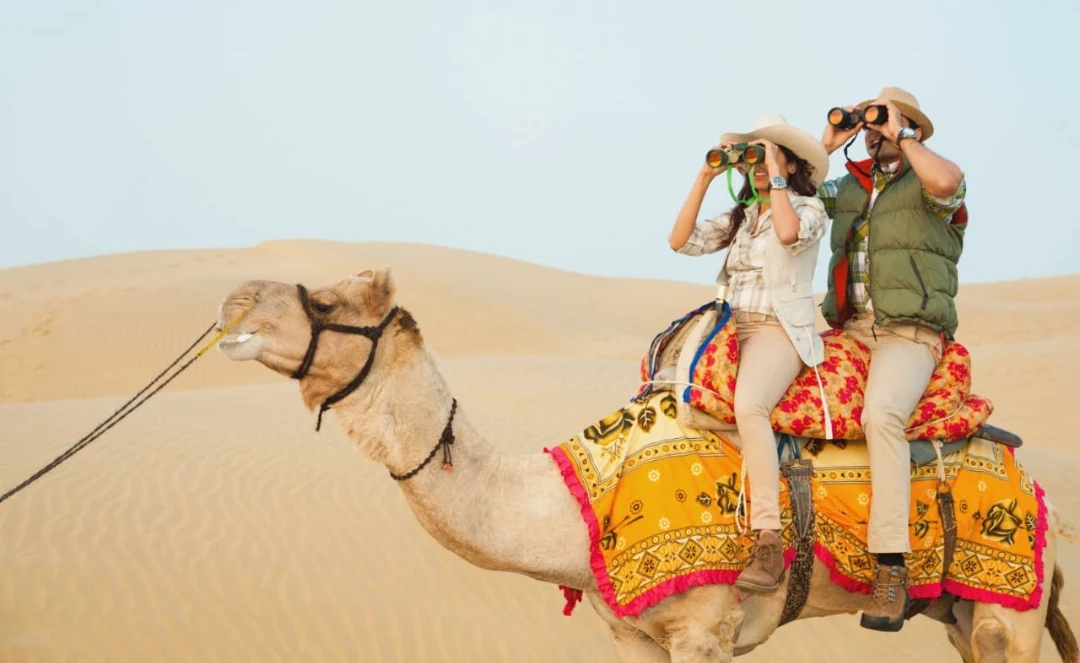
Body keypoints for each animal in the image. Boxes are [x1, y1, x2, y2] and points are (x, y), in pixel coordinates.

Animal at [214, 267, 1078, 663]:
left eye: (326, 302)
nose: (234, 300)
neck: (575, 506)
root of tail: (1038, 493)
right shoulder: (634, 635)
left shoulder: (705, 628)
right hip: (962, 614)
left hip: (1009, 611)